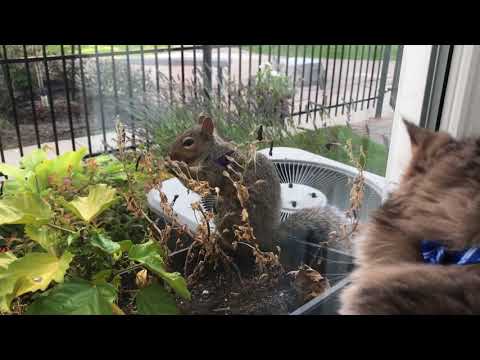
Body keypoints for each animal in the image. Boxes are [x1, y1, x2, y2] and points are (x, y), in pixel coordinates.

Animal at [167, 115, 350, 268]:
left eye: (188, 142)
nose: (170, 154)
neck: (212, 150)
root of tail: (269, 237)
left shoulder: (216, 170)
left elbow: (200, 182)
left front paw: (175, 167)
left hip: (231, 218)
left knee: (238, 246)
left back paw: (220, 242)